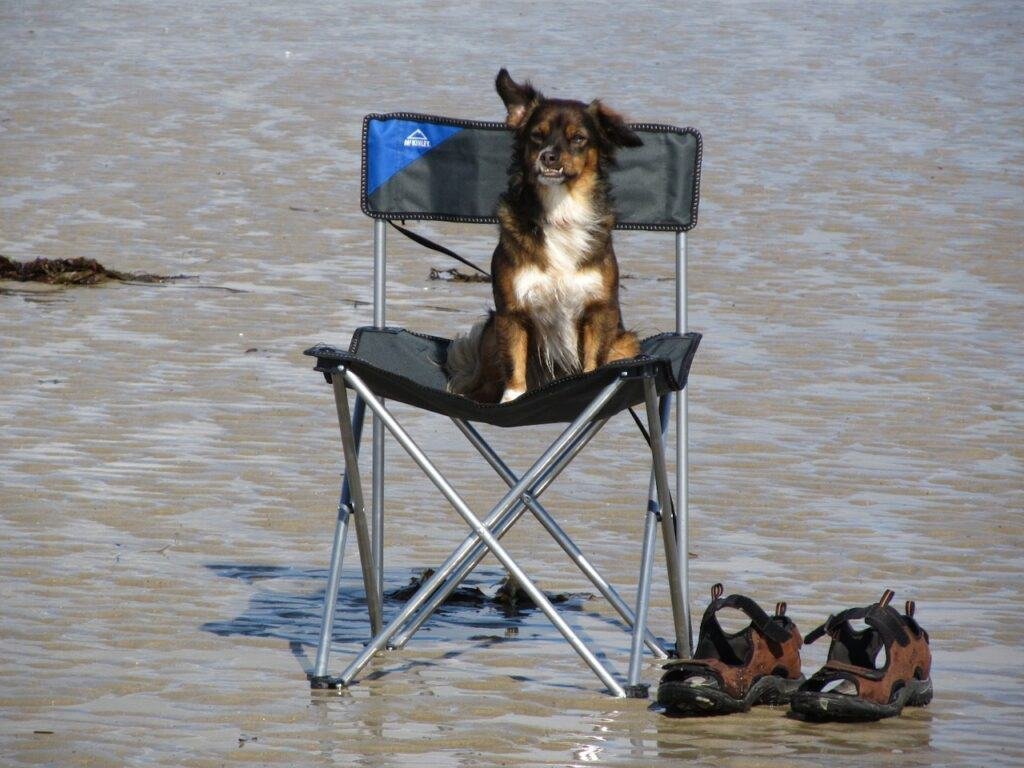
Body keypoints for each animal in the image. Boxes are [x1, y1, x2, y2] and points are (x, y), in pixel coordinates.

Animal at [446, 70, 643, 405]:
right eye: (537, 135)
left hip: (626, 342)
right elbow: (514, 367)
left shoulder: (600, 311)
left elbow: (593, 364)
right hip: (490, 334)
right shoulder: (511, 312)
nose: (548, 157)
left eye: (578, 138)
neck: (560, 210)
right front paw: (511, 401)